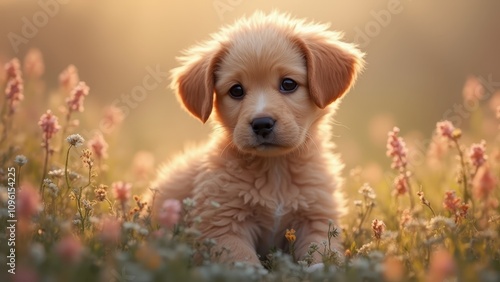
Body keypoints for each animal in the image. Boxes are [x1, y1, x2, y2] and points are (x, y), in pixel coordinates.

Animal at [151, 11, 364, 266]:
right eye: (236, 90)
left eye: (288, 84)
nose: (262, 124)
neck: (276, 171)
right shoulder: (224, 226)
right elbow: (245, 262)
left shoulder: (317, 221)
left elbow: (323, 258)